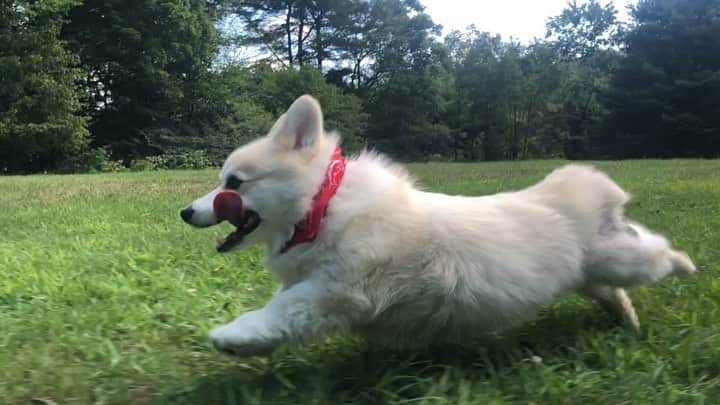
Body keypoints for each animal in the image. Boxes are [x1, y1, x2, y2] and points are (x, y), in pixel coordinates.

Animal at [181, 94, 696, 354]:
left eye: (234, 183)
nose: (186, 212)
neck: (320, 207)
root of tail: (570, 194)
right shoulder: (321, 289)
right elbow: (282, 314)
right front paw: (246, 345)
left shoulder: (336, 289)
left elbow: (281, 311)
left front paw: (231, 337)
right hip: (591, 276)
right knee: (614, 291)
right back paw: (627, 321)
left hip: (620, 259)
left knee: (653, 253)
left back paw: (684, 264)